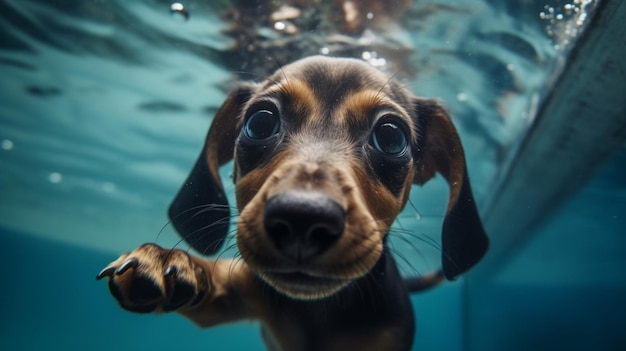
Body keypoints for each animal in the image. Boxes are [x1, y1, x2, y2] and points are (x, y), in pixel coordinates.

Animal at [97, 56, 488, 350]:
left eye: (391, 137)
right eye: (260, 122)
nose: (302, 219)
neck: (318, 311)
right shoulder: (240, 293)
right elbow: (216, 282)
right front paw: (174, 262)